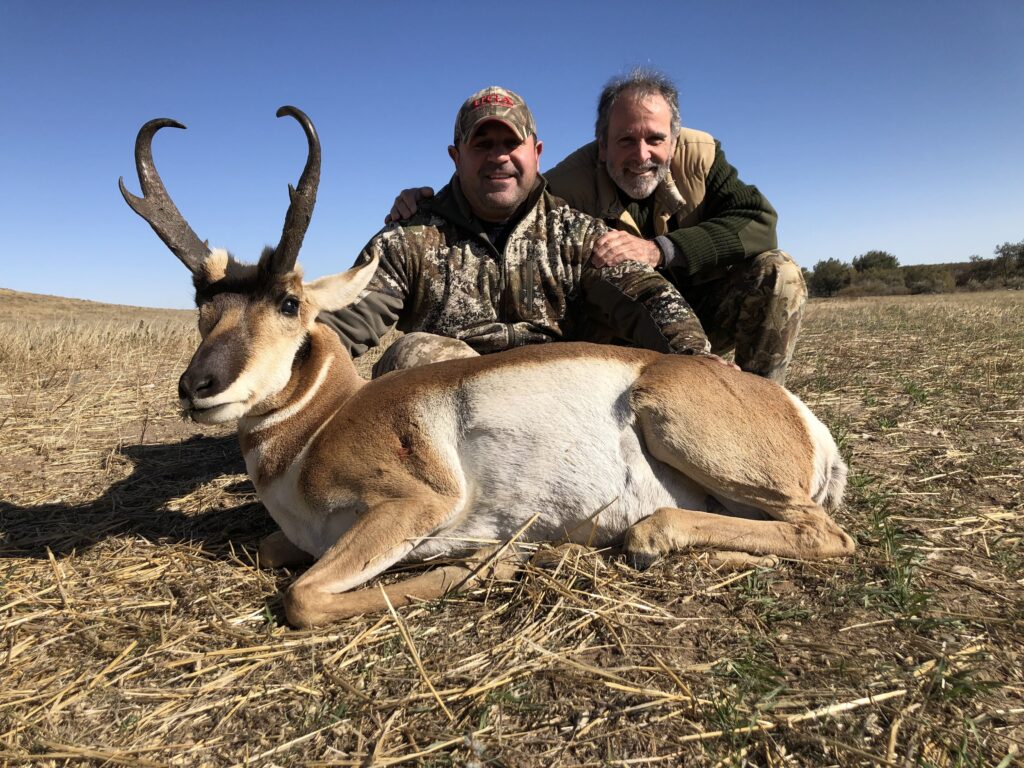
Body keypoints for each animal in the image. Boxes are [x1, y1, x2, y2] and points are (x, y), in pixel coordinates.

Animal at [120, 106, 855, 628]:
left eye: (289, 302)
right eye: (202, 305)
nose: (198, 387)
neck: (320, 427)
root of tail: (795, 413)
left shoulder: (415, 504)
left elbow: (301, 597)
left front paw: (488, 567)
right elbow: (271, 551)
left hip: (672, 418)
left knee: (823, 532)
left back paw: (645, 537)